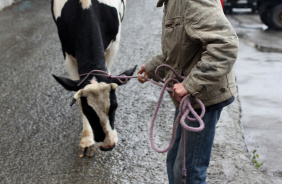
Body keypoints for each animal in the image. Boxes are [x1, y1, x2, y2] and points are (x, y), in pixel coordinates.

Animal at [52, 0, 138, 158]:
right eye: (88, 111)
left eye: (114, 106)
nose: (108, 146)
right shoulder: (67, 54)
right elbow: (79, 98)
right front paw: (87, 140)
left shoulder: (114, 45)